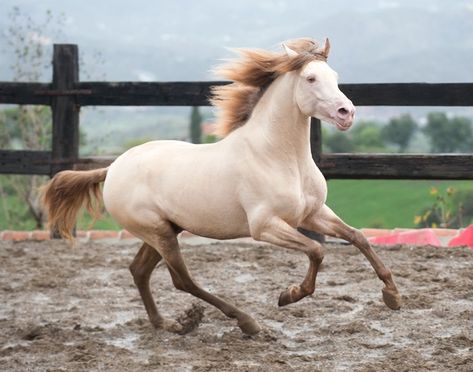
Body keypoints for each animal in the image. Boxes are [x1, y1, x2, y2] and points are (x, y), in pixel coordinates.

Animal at [43, 39, 398, 336]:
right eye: (311, 78)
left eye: (335, 76)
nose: (346, 113)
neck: (279, 157)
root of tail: (114, 167)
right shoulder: (265, 226)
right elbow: (317, 250)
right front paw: (289, 295)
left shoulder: (313, 214)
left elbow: (357, 237)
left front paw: (392, 295)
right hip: (158, 231)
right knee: (182, 280)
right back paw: (245, 321)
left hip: (165, 230)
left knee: (139, 270)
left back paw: (166, 323)